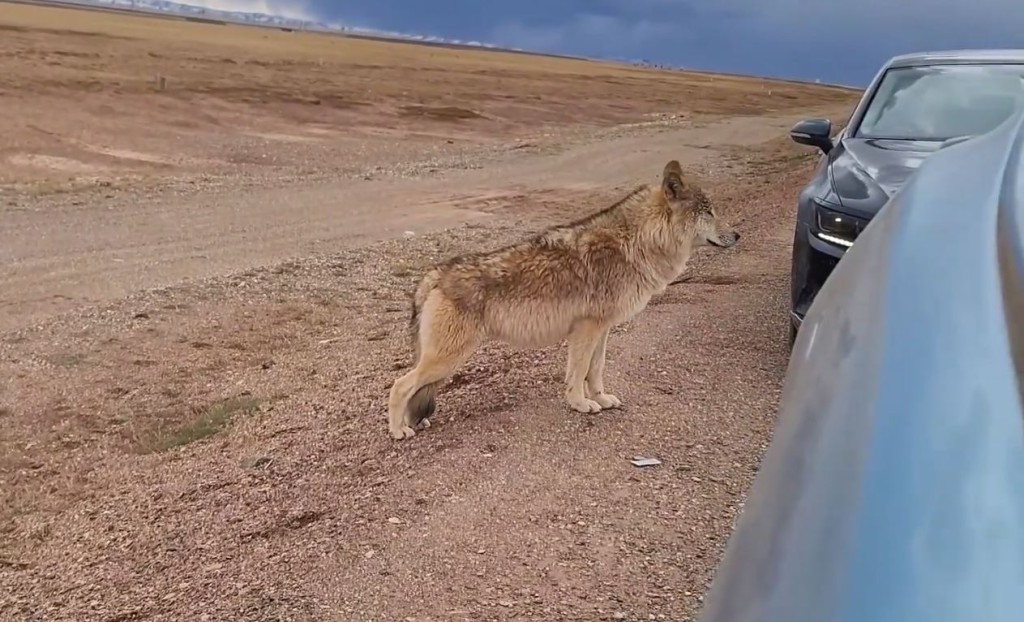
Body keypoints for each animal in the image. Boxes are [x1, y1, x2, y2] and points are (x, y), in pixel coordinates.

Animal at [387, 160, 741, 442]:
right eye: (709, 212)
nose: (738, 235)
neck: (637, 242)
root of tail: (433, 274)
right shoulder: (586, 329)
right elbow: (579, 371)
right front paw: (581, 404)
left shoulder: (602, 329)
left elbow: (595, 370)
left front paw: (601, 398)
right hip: (447, 359)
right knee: (399, 385)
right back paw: (398, 431)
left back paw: (413, 423)